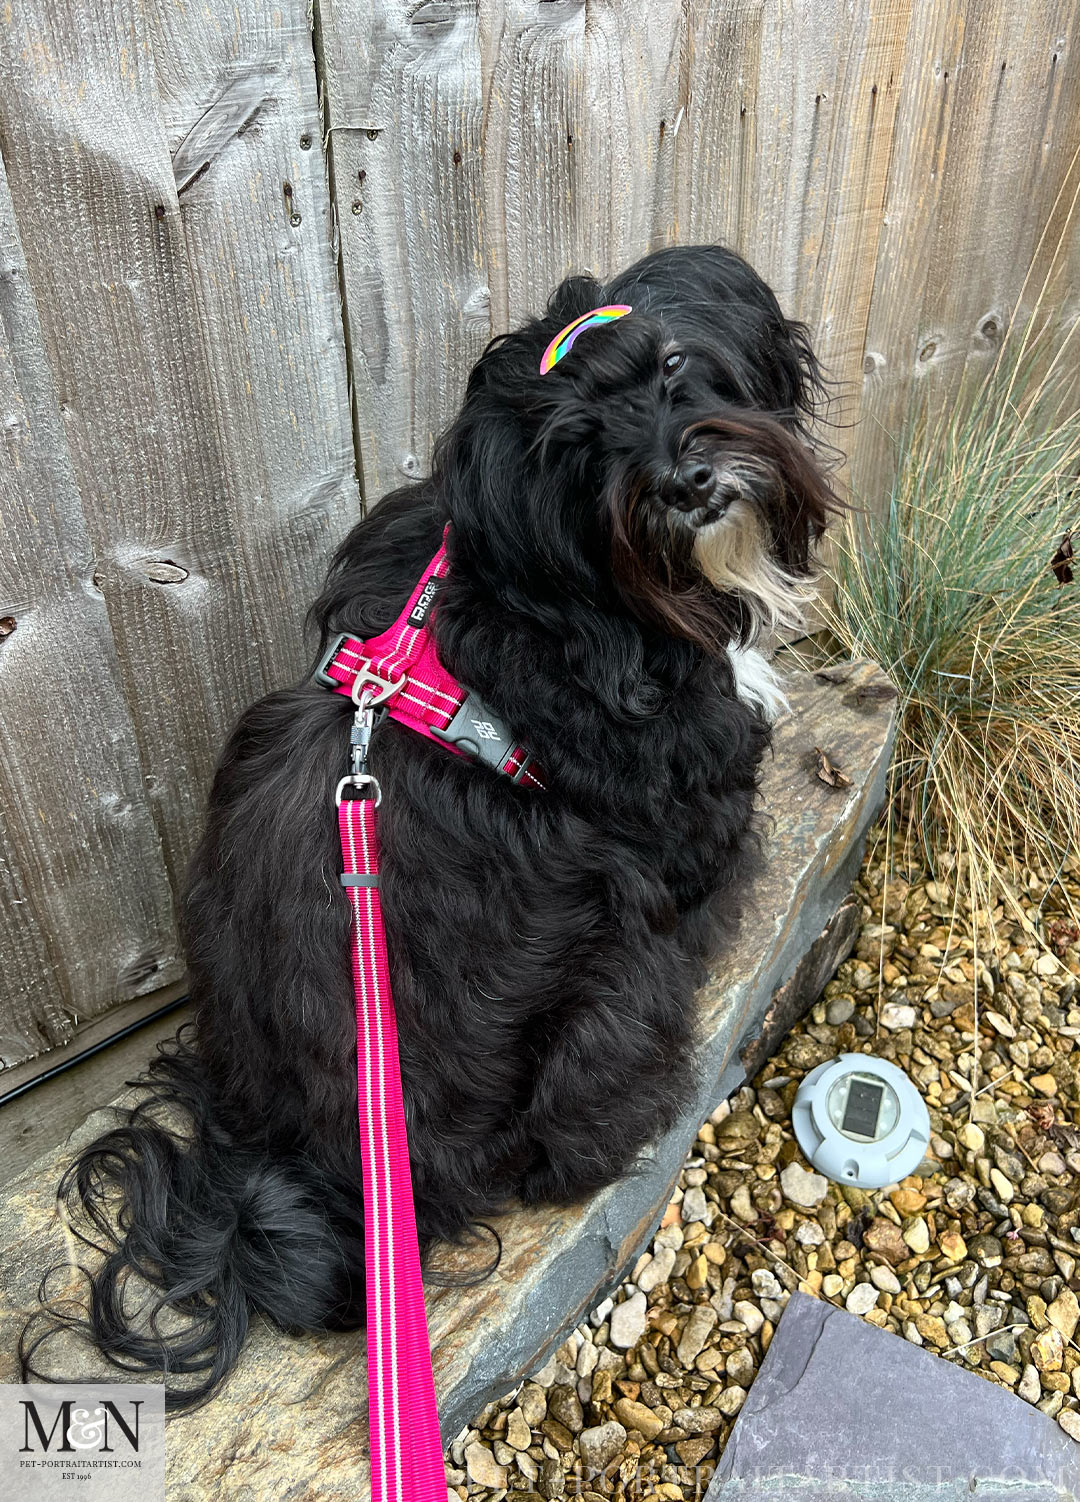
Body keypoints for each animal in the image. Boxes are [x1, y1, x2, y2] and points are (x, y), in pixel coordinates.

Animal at [23, 243, 835, 1405]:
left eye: (675, 363)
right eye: (578, 447)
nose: (686, 481)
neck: (587, 591)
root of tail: (318, 1175)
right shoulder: (678, 792)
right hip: (611, 975)